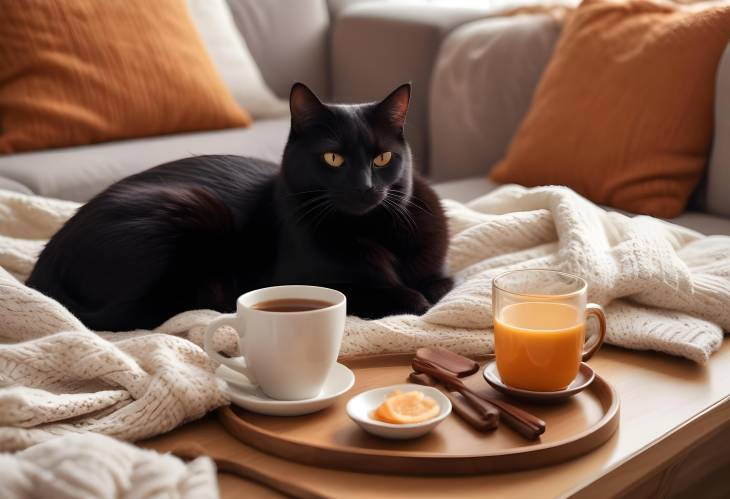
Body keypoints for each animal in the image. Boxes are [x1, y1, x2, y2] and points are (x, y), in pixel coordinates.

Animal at [28, 82, 452, 332]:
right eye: (333, 158)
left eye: (382, 158)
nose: (365, 187)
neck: (373, 229)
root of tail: (44, 267)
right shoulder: (300, 281)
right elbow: (397, 295)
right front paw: (411, 297)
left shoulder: (439, 270)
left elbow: (443, 283)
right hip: (191, 208)